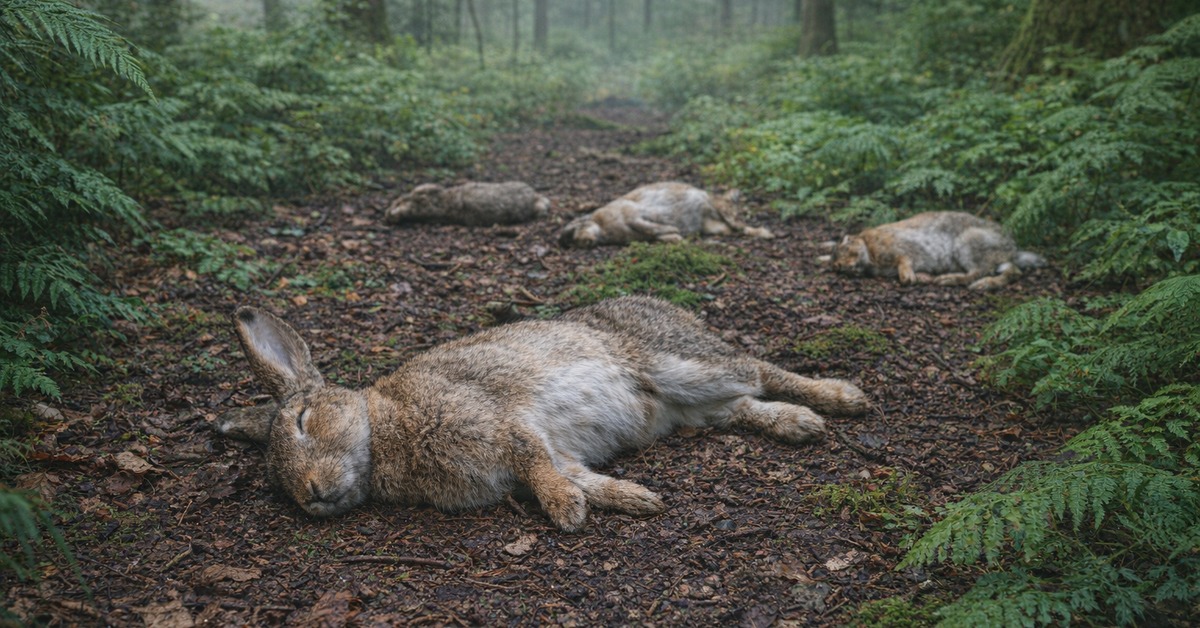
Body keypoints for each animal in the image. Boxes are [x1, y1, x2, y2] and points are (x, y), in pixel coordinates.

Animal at [218, 296, 868, 531]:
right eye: (275, 482)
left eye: (303, 421)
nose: (310, 494)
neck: (383, 432)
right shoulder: (550, 451)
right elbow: (571, 473)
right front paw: (632, 500)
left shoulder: (500, 423)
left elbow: (535, 464)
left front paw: (565, 513)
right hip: (694, 409)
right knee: (741, 407)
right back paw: (796, 424)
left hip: (683, 364)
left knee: (759, 370)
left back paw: (839, 400)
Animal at [558, 182, 774, 248]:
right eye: (572, 242)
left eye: (576, 230)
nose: (584, 242)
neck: (602, 227)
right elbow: (656, 234)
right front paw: (674, 237)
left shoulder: (632, 216)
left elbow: (650, 227)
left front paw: (674, 232)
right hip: (714, 226)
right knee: (728, 230)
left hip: (726, 211)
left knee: (740, 225)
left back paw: (766, 234)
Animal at [823, 211, 1046, 291]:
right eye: (834, 265)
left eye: (845, 248)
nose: (840, 267)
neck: (867, 248)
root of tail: (1011, 248)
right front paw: (919, 277)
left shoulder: (900, 251)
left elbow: (904, 261)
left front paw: (908, 278)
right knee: (1012, 271)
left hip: (968, 244)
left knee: (977, 272)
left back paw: (953, 281)